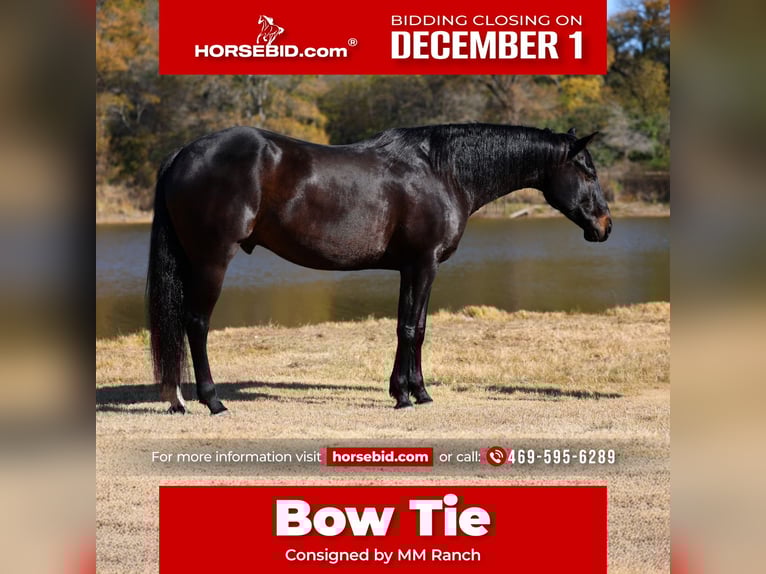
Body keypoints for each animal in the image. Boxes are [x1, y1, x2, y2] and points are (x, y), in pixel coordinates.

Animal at [146, 124, 612, 415]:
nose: (605, 225)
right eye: (587, 171)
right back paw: (211, 400)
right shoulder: (424, 264)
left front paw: (411, 391)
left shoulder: (410, 268)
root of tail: (183, 154)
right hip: (211, 260)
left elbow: (410, 325)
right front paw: (409, 396)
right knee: (196, 322)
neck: (441, 171)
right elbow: (412, 329)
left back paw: (177, 399)